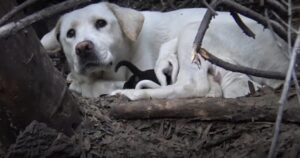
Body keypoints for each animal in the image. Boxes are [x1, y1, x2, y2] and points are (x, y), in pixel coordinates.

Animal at [41, 1, 290, 99]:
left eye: (101, 23)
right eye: (70, 34)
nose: (83, 48)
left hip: (193, 33)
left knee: (191, 86)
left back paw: (132, 94)